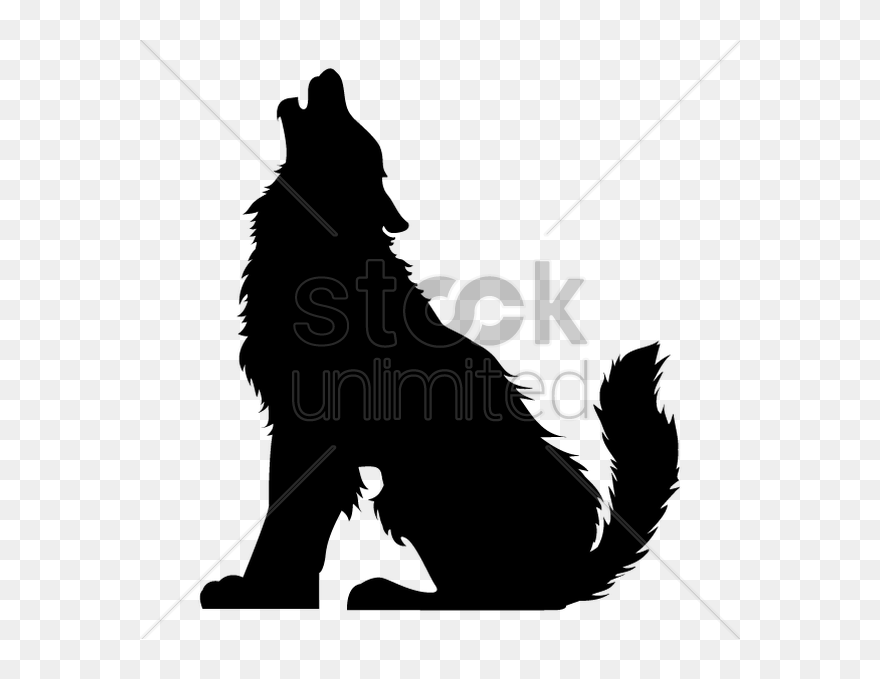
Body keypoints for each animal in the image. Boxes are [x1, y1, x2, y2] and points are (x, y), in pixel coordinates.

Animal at [200, 69, 679, 610]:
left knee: (481, 593)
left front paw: (262, 592)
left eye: (353, 134)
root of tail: (570, 572)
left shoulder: (315, 434)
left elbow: (289, 520)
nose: (331, 75)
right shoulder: (294, 427)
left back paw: (387, 593)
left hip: (420, 491)